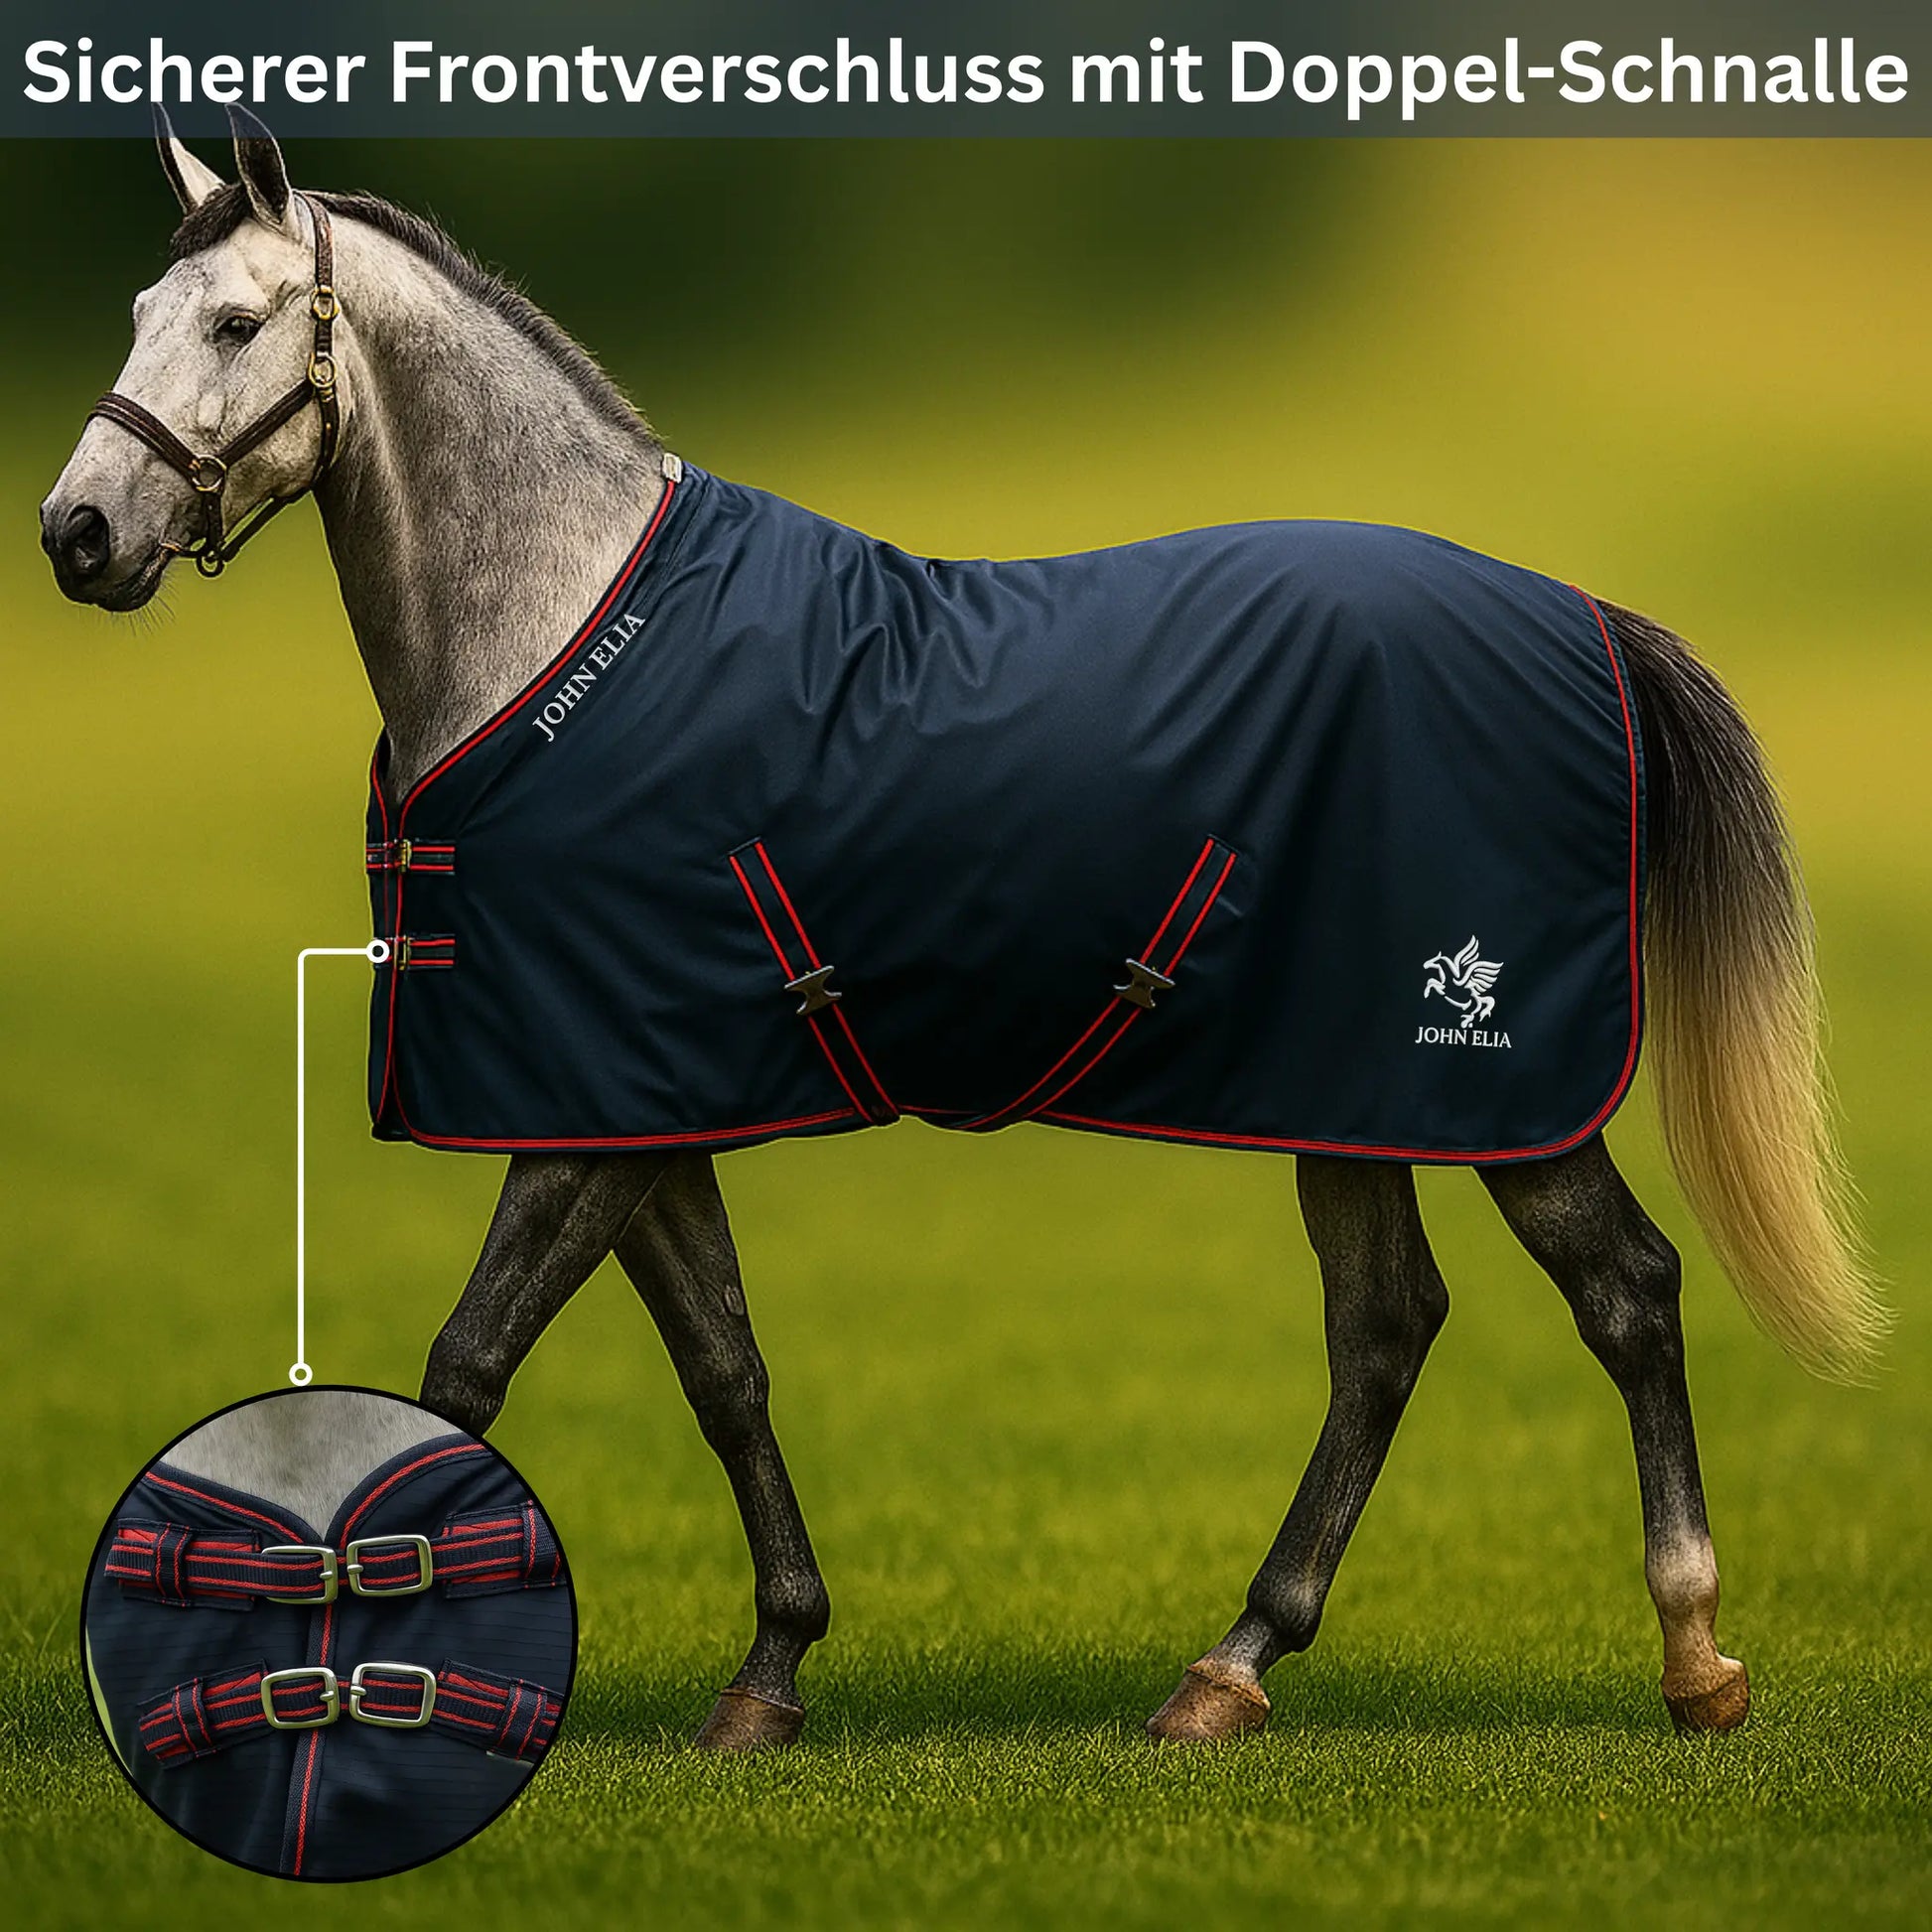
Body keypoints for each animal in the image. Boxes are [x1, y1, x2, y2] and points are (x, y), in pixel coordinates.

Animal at [42, 110, 1881, 1752]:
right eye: (134, 315)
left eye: (232, 322)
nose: (78, 536)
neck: (562, 643)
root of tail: (1581, 617)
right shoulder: (639, 1106)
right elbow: (724, 1369)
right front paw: (771, 1671)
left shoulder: (584, 1121)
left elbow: (462, 1373)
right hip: (1344, 1088)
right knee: (1383, 1332)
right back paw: (1228, 1670)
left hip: (1495, 1084)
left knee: (1622, 1292)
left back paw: (1692, 1657)